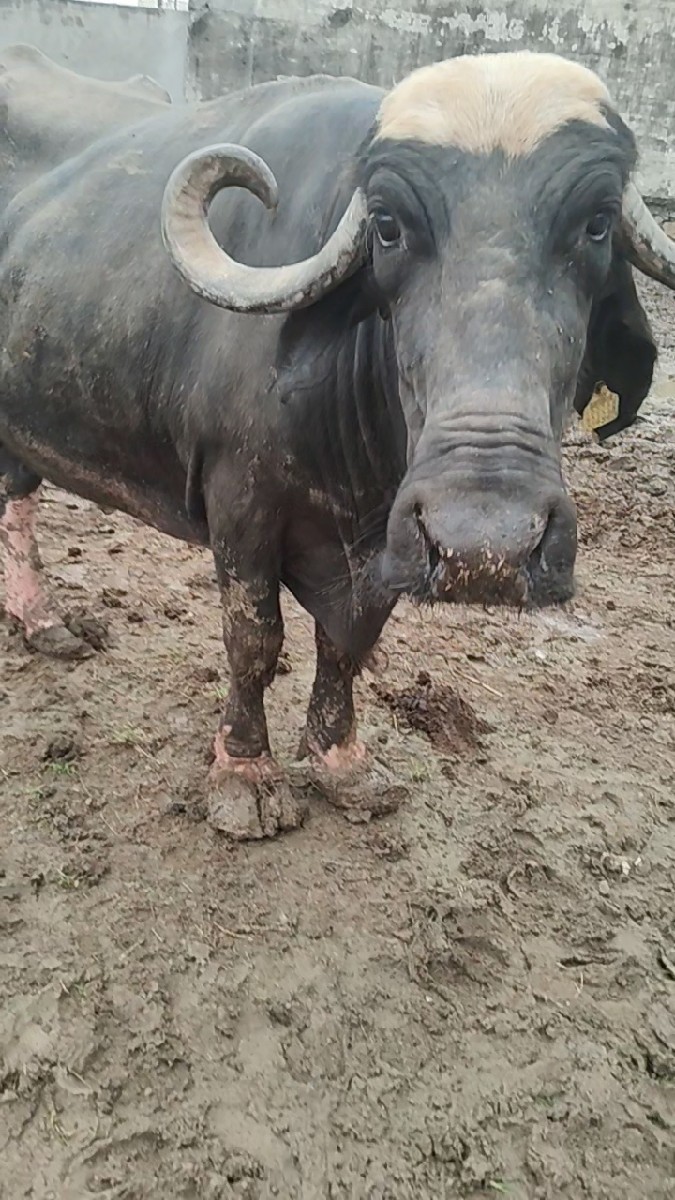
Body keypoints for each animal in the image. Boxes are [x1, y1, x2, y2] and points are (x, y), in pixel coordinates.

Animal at [1, 50, 674, 838]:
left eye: (597, 225)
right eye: (386, 226)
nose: (487, 547)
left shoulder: (388, 537)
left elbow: (348, 641)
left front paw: (341, 761)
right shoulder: (240, 504)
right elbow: (254, 640)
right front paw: (245, 772)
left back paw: (42, 622)